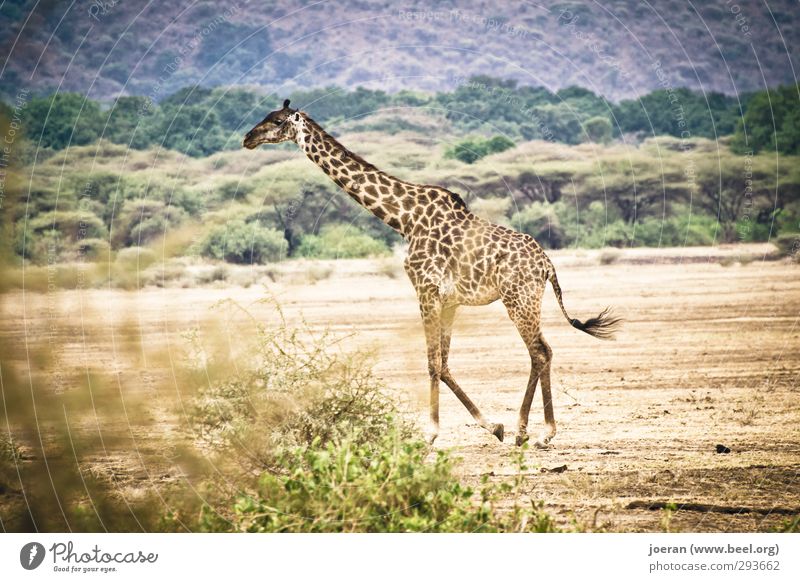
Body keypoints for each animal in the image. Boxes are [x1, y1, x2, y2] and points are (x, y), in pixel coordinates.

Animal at [241, 100, 620, 448]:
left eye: (277, 121)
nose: (247, 138)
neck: (403, 219)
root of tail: (547, 265)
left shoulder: (424, 289)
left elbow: (431, 363)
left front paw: (431, 432)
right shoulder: (449, 299)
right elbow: (445, 363)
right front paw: (491, 426)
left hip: (519, 299)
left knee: (539, 352)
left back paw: (536, 432)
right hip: (525, 300)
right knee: (545, 351)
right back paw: (529, 430)